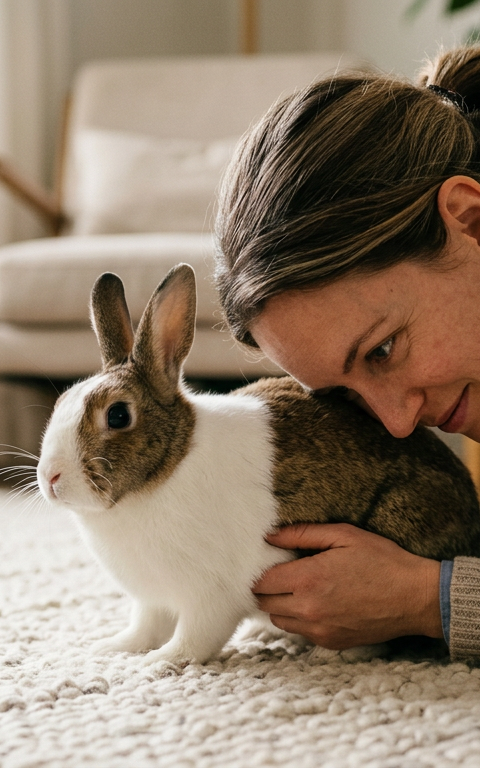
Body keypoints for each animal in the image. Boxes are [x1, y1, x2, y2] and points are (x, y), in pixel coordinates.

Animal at [36, 263, 480, 666]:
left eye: (117, 416)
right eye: (62, 402)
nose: (50, 478)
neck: (165, 470)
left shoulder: (210, 594)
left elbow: (195, 637)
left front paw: (160, 662)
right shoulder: (153, 599)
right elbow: (146, 626)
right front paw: (114, 648)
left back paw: (327, 654)